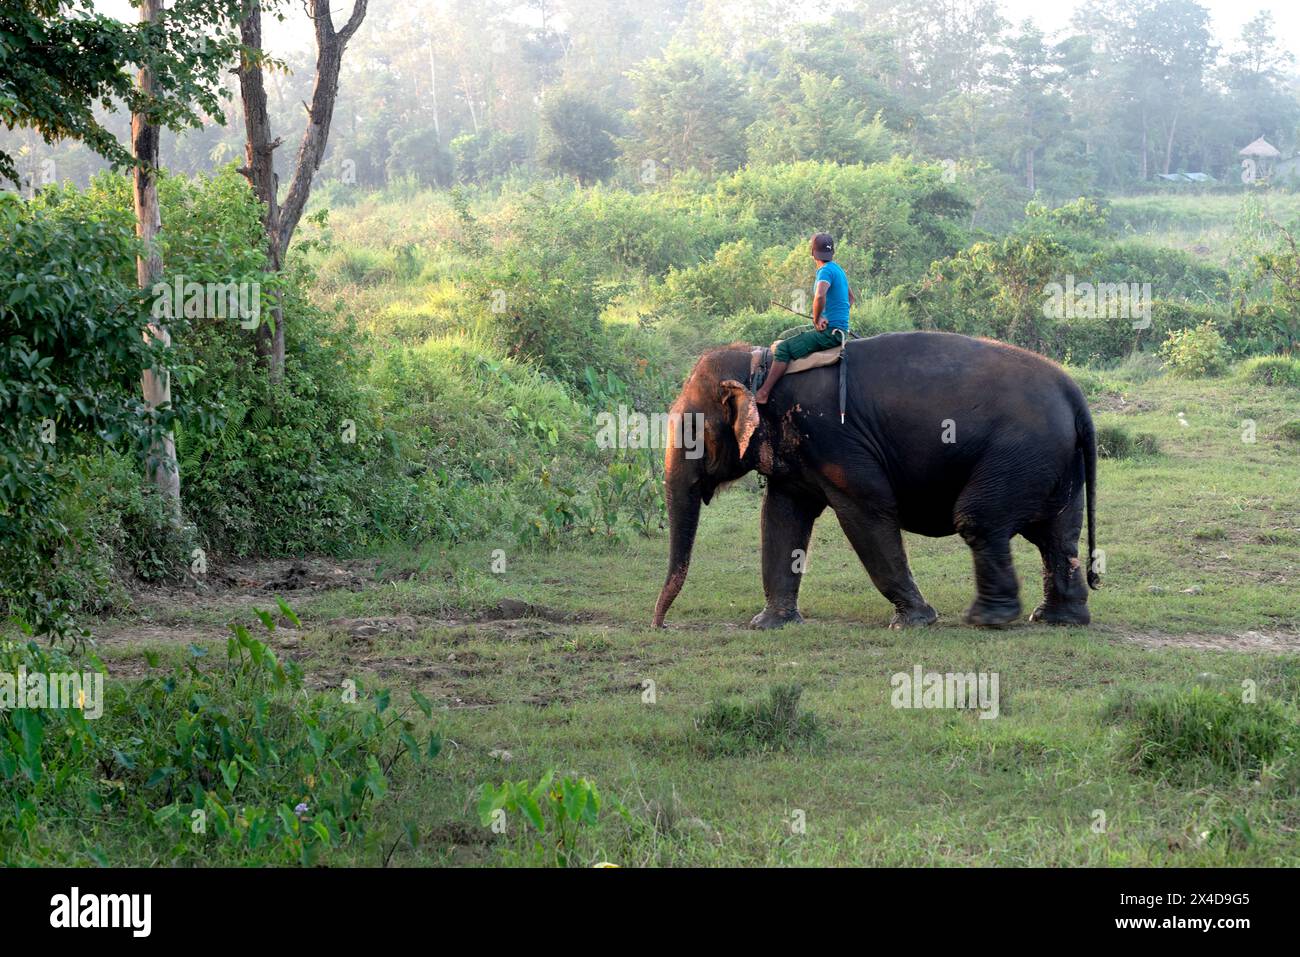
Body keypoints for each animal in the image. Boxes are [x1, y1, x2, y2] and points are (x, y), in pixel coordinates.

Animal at [650, 332, 1097, 631]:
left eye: (694, 433)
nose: (661, 625)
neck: (758, 364)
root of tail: (1074, 394)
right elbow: (780, 517)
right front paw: (770, 624)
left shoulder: (836, 439)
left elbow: (867, 511)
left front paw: (915, 622)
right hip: (1054, 460)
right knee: (1056, 534)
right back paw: (1059, 619)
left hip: (1022, 451)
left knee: (979, 519)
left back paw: (987, 619)